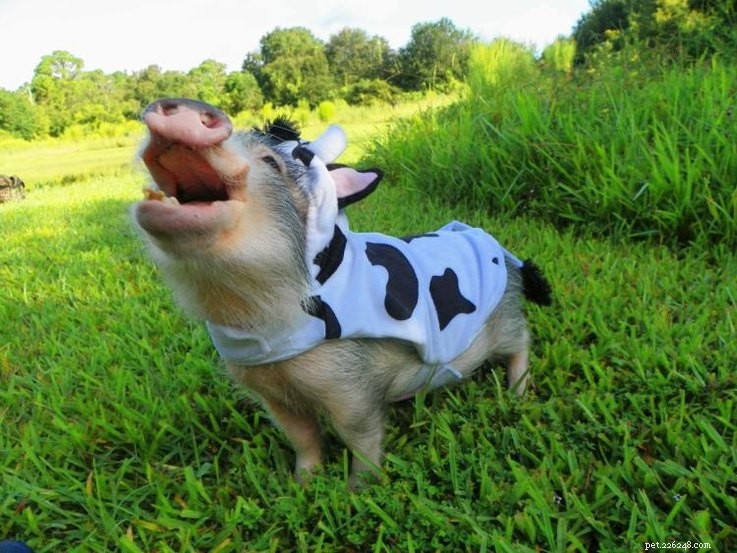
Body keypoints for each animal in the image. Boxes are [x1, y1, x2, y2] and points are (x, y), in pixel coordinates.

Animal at [132, 98, 552, 486]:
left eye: (272, 162)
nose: (189, 106)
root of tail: (505, 255)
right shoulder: (269, 393)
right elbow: (302, 437)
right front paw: (302, 483)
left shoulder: (351, 382)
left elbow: (361, 437)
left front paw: (356, 492)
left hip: (506, 318)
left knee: (522, 342)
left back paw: (517, 393)